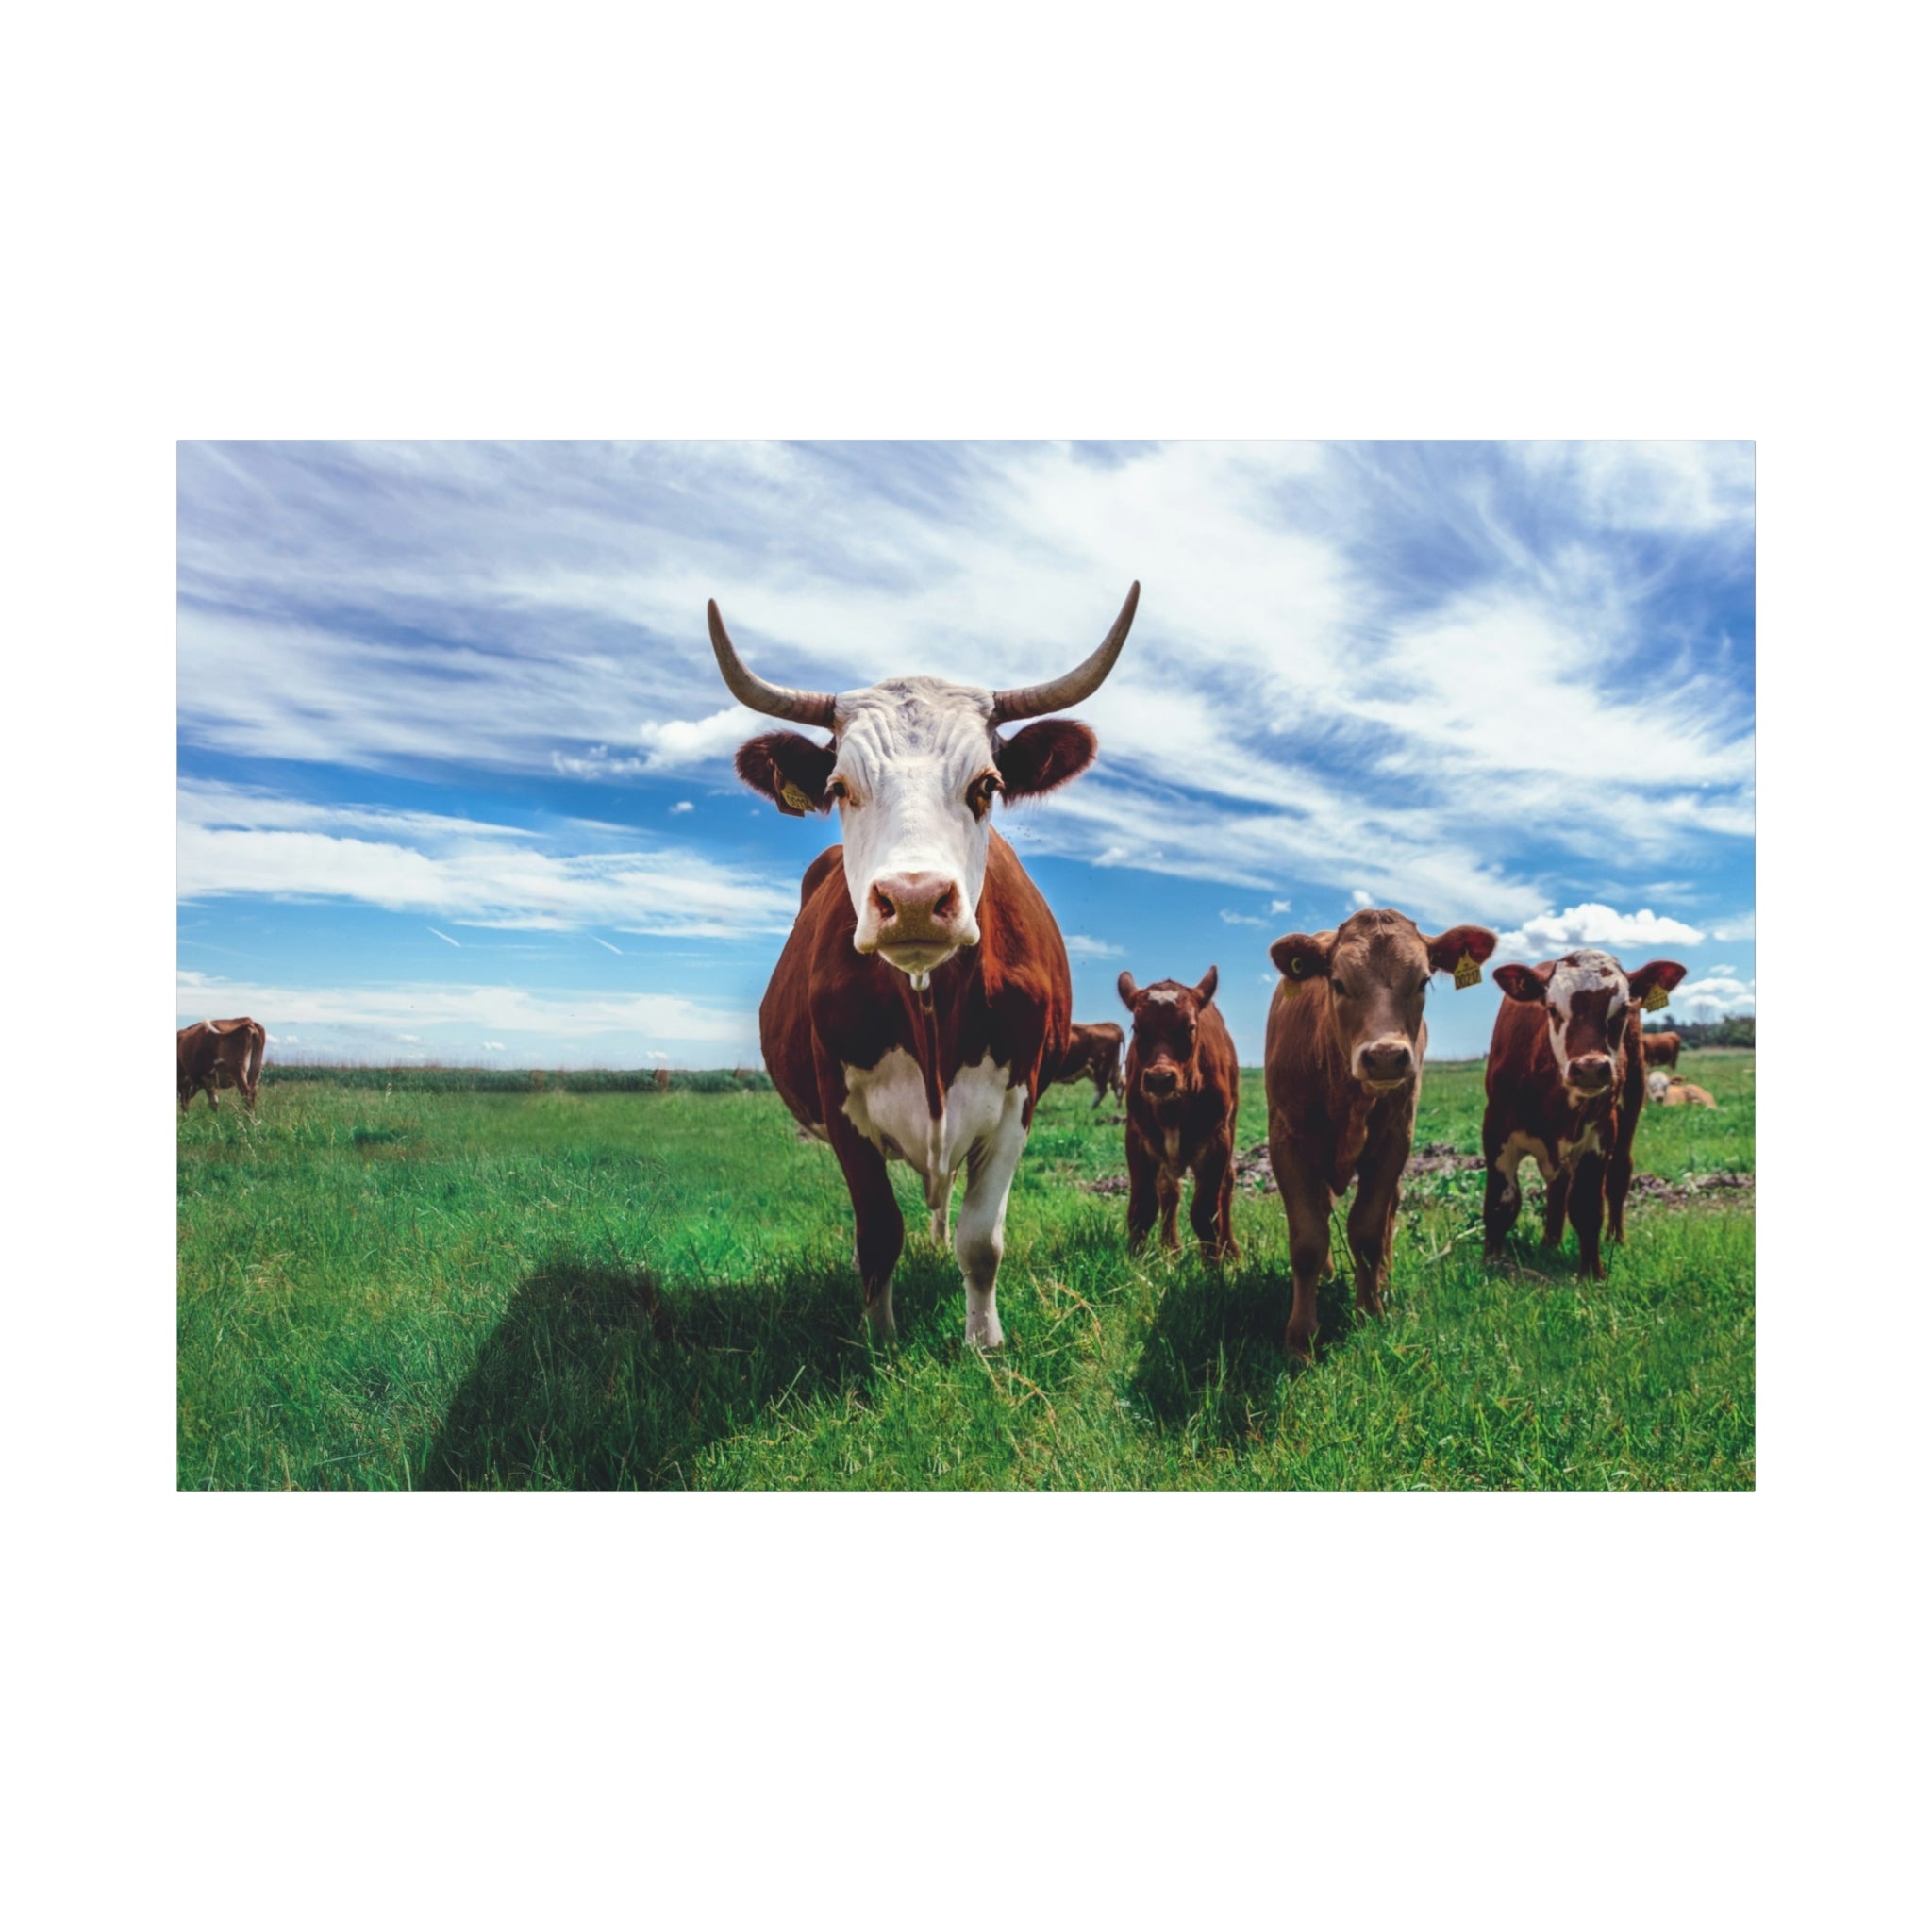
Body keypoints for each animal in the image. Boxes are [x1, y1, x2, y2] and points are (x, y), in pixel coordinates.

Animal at [713, 580, 1139, 1347]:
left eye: (987, 785)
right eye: (841, 788)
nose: (913, 899)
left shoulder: (1018, 1100)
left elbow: (982, 1238)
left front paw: (984, 1340)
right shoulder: (840, 1103)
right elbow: (879, 1233)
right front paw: (880, 1340)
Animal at [1117, 968, 1240, 1261]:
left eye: (1189, 1027)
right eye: (1138, 1028)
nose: (1160, 1079)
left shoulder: (1217, 1142)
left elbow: (1206, 1214)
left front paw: (1213, 1266)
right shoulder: (1137, 1138)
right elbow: (1142, 1208)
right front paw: (1136, 1263)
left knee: (1227, 1183)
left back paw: (1230, 1248)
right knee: (1169, 1189)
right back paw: (1169, 1247)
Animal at [1265, 909, 1499, 1359]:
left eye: (1423, 981)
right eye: (1338, 982)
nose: (1387, 1056)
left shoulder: (1394, 1140)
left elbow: (1369, 1230)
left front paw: (1370, 1310)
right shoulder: (1287, 1141)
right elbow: (1307, 1239)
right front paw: (1301, 1336)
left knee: (1389, 1212)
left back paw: (1383, 1280)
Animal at [1483, 950, 1688, 1277]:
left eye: (1622, 1009)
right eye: (1552, 1008)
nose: (1590, 1067)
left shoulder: (1599, 1135)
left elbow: (1587, 1207)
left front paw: (1593, 1273)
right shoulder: (1496, 1129)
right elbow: (1501, 1204)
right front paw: (1491, 1263)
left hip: (1631, 1101)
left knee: (1618, 1174)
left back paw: (1614, 1238)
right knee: (1558, 1186)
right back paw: (1550, 1242)